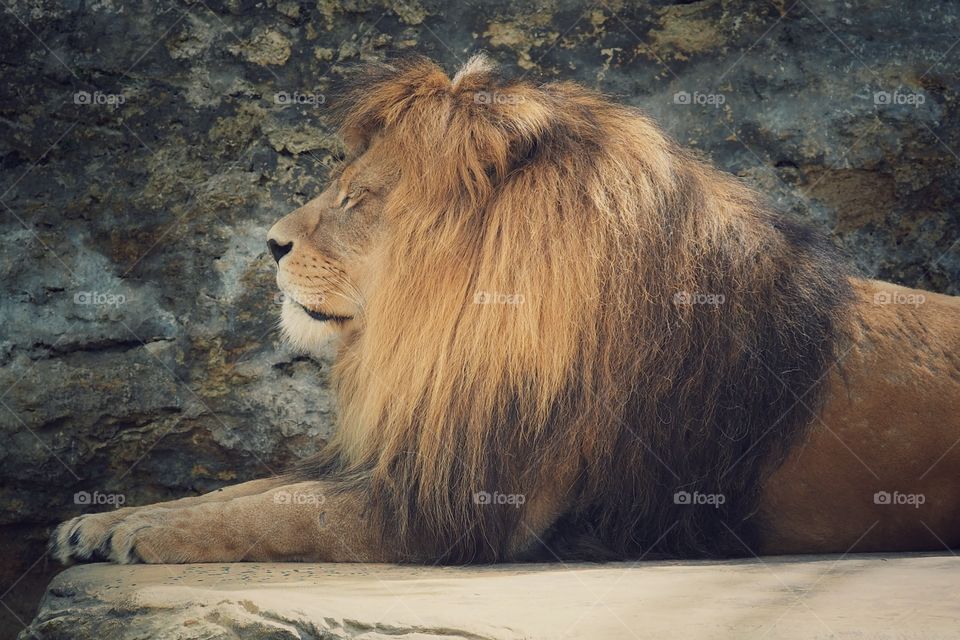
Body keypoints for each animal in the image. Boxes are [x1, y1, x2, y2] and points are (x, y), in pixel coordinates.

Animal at [52, 55, 960, 565]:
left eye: (356, 198)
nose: (269, 245)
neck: (455, 327)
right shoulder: (405, 456)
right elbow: (248, 491)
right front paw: (107, 523)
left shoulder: (458, 511)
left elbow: (273, 514)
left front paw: (140, 537)